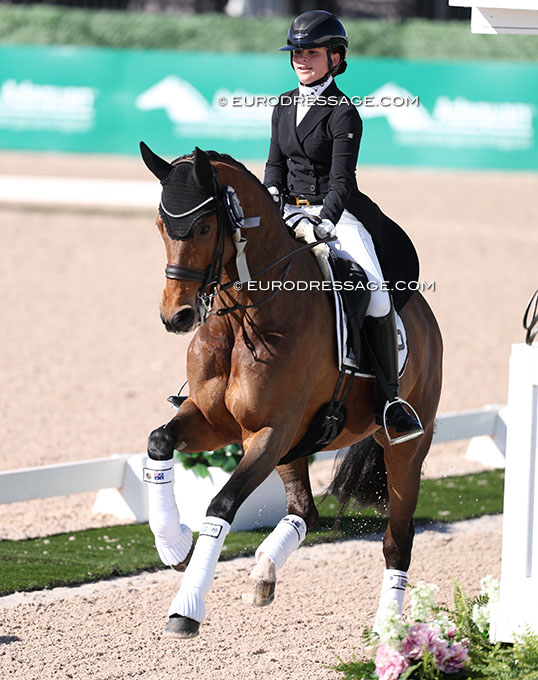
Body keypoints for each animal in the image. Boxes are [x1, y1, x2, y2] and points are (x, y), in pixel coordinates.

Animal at [140, 142, 443, 639]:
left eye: (204, 226)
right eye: (162, 226)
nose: (176, 316)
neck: (245, 316)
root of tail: (422, 313)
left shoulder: (268, 432)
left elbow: (221, 504)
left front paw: (186, 607)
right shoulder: (216, 422)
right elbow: (159, 441)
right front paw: (173, 544)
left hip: (404, 448)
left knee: (398, 540)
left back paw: (388, 631)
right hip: (297, 446)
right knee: (305, 510)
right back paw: (263, 572)